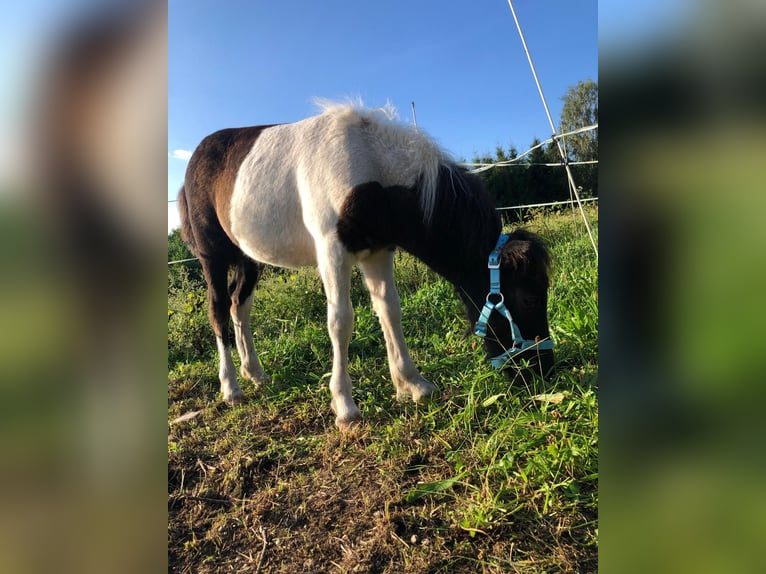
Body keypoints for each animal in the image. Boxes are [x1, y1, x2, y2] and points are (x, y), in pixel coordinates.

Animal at [178, 101, 556, 430]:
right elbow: (340, 321)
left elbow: (389, 310)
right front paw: (345, 408)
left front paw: (413, 385)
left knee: (239, 306)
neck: (371, 167)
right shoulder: (333, 251)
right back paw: (231, 388)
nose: (543, 372)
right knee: (218, 310)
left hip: (248, 259)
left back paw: (254, 374)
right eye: (529, 298)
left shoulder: (378, 252)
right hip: (213, 257)